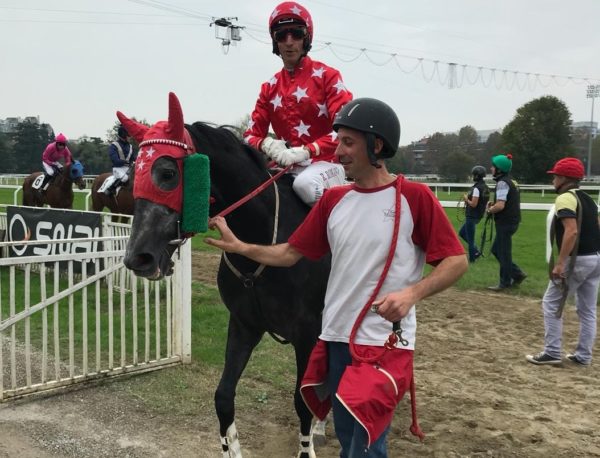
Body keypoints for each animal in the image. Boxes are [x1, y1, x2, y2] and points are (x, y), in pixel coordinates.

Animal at [120, 94, 330, 458]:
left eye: (167, 172)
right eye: (134, 175)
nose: (138, 257)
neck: (262, 244)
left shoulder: (307, 333)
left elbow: (302, 402)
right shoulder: (244, 324)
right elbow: (223, 396)